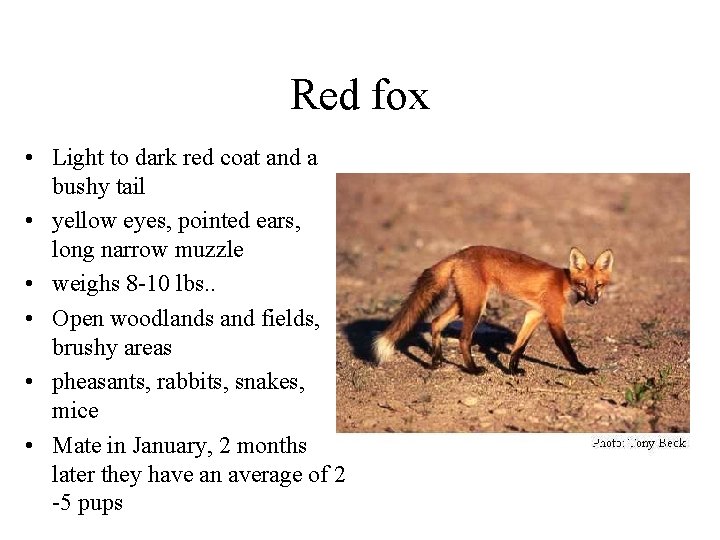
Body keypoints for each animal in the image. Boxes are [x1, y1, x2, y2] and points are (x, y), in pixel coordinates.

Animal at [373, 246, 614, 375]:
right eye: (583, 285)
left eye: (598, 285)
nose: (592, 300)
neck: (564, 283)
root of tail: (459, 254)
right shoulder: (554, 319)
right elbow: (569, 351)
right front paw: (583, 369)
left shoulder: (534, 315)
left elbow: (519, 347)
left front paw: (512, 370)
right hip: (475, 307)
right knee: (463, 338)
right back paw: (473, 369)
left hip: (463, 303)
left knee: (436, 322)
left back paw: (436, 361)